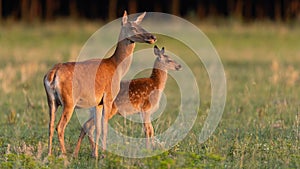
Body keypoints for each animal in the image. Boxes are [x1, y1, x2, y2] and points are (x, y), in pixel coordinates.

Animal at [44, 11, 157, 158]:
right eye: (132, 27)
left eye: (141, 25)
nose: (152, 37)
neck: (116, 67)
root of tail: (53, 73)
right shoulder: (108, 97)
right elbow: (104, 128)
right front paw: (103, 154)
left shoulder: (98, 102)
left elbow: (97, 128)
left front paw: (95, 154)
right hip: (69, 101)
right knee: (60, 126)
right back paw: (65, 155)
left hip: (51, 101)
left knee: (50, 126)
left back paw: (49, 155)